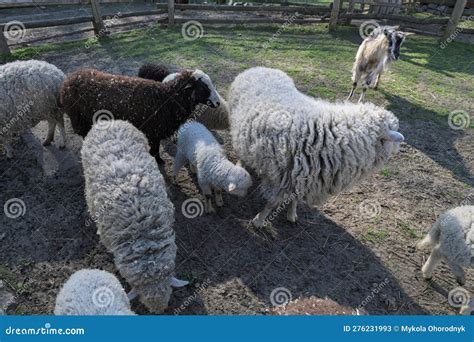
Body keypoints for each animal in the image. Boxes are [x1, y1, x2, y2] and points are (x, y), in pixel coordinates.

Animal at [229, 66, 404, 227]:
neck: (332, 135)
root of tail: (260, 68)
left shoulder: (302, 178)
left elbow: (295, 199)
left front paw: (292, 214)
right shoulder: (282, 177)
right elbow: (272, 203)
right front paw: (259, 220)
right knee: (241, 152)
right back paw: (240, 166)